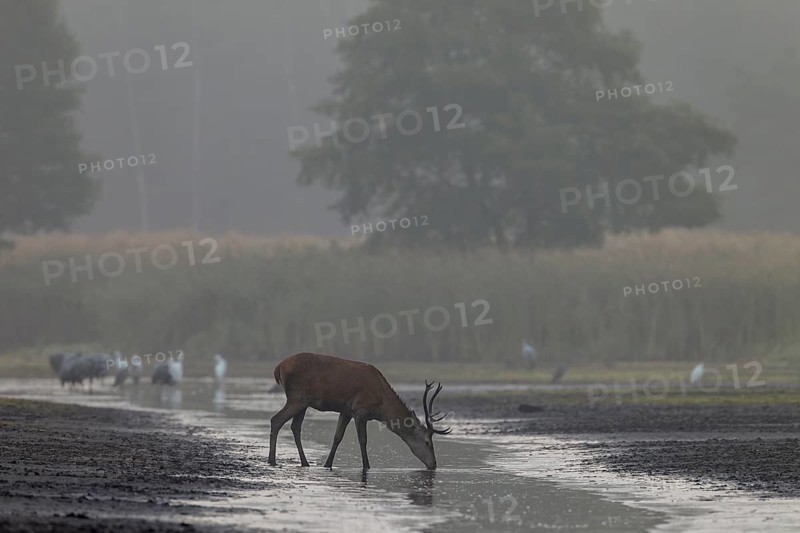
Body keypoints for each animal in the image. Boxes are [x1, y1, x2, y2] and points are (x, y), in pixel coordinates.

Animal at [268, 352, 451, 470]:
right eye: (427, 442)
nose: (434, 464)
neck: (381, 404)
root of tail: (278, 368)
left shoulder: (346, 411)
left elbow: (337, 437)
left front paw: (328, 464)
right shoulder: (360, 410)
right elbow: (363, 440)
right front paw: (367, 466)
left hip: (303, 402)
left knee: (295, 427)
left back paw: (304, 463)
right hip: (297, 398)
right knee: (276, 420)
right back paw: (272, 460)